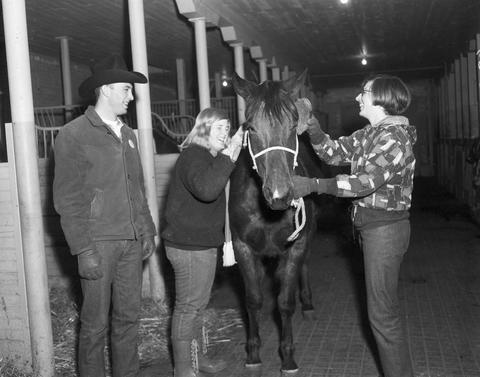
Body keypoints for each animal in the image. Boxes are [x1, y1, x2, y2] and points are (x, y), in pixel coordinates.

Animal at [230, 70, 318, 374]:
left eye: (293, 123)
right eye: (250, 127)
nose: (280, 194)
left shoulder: (296, 246)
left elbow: (284, 303)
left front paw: (288, 357)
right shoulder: (243, 247)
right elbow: (254, 300)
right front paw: (253, 353)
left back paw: (308, 304)